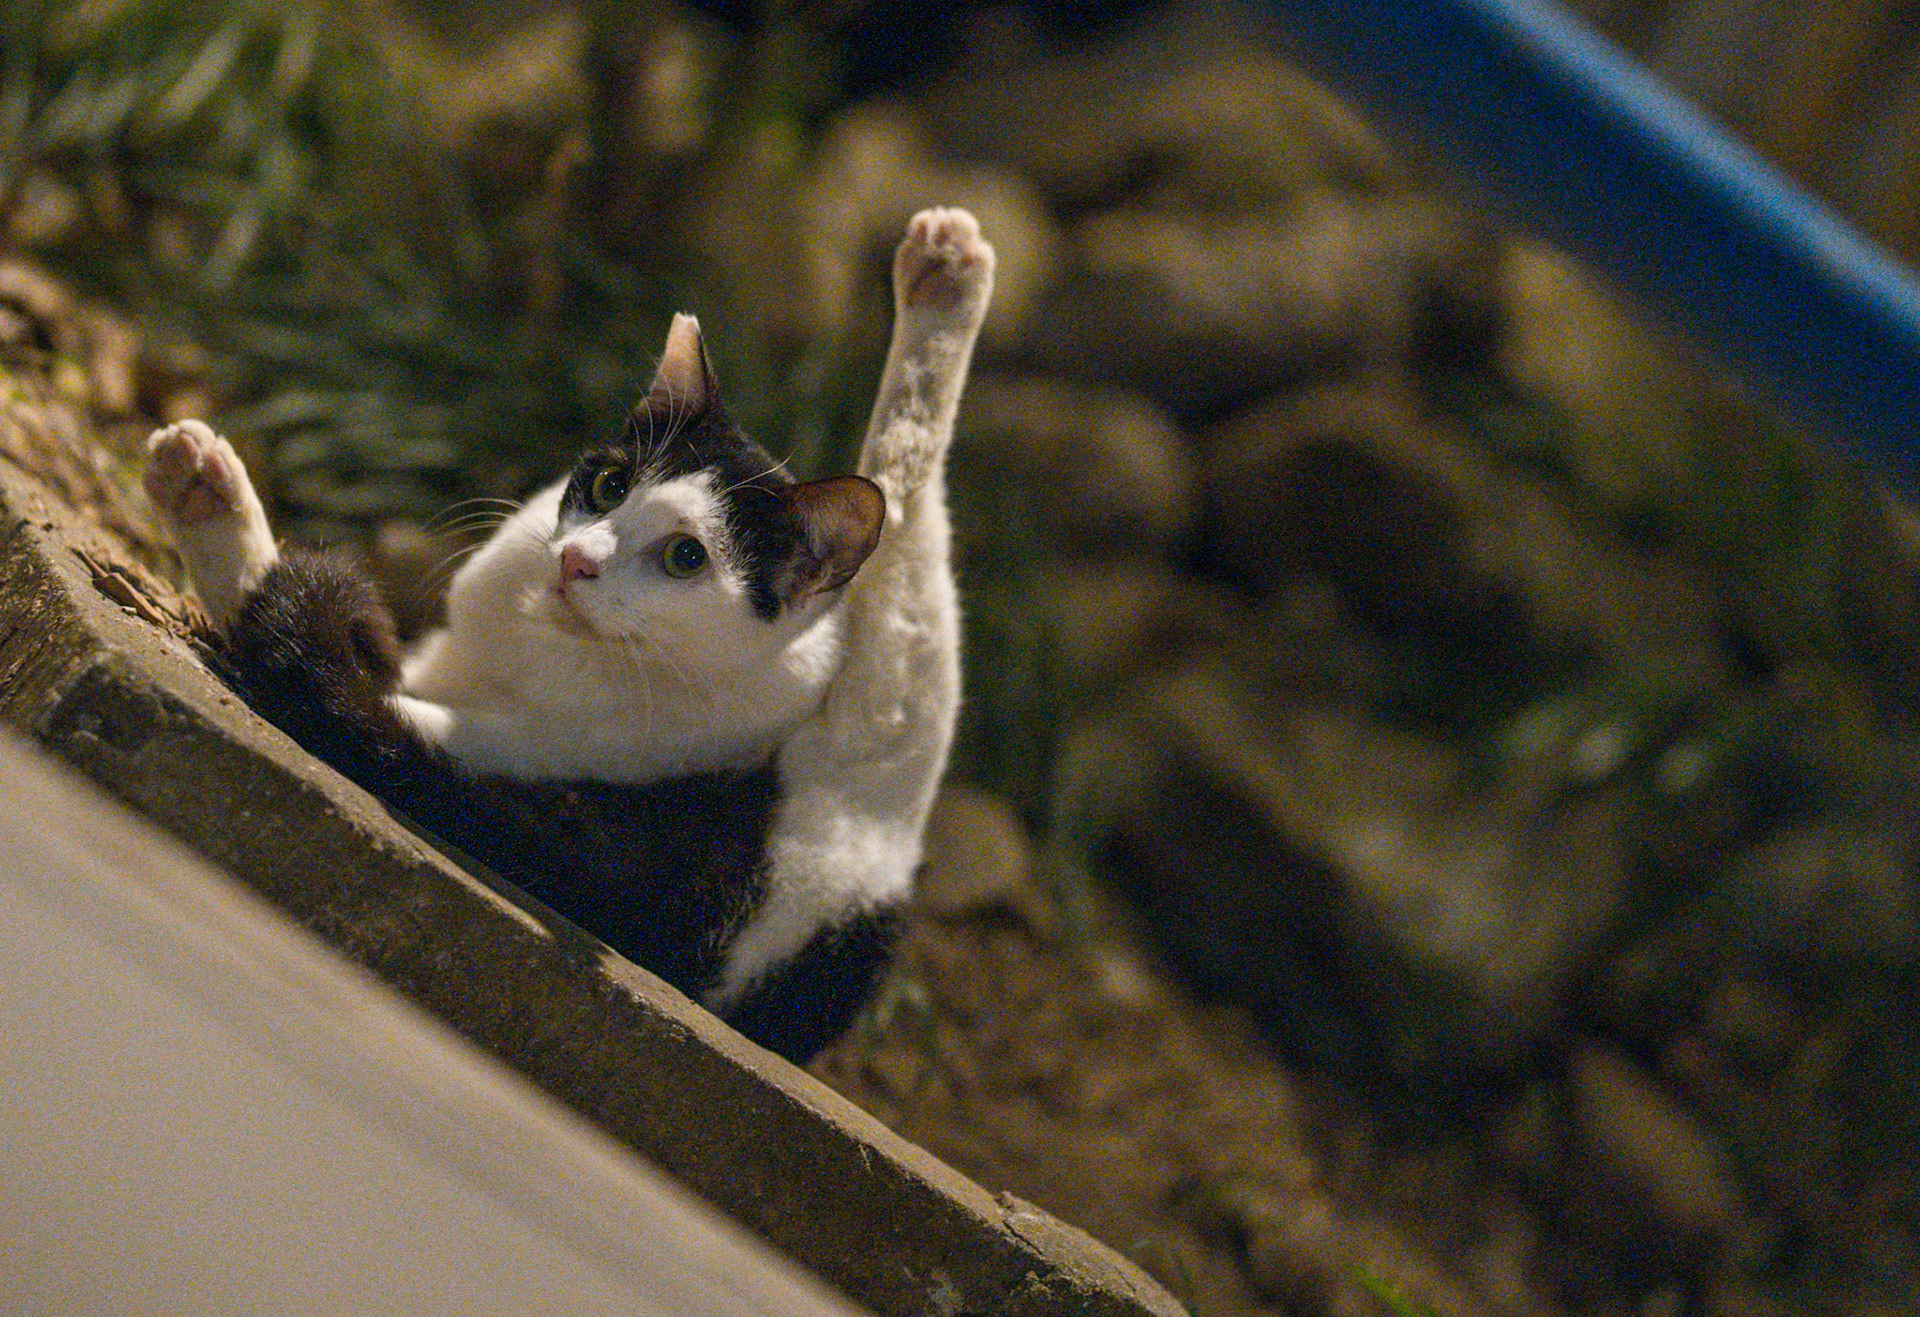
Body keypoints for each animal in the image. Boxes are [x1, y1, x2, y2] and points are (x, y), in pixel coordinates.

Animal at [143, 208, 994, 1064]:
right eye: (612, 485)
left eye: (686, 556)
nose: (578, 558)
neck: (535, 640)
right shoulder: (443, 662)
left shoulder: (550, 745)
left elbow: (348, 691)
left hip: (862, 757)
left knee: (910, 559)